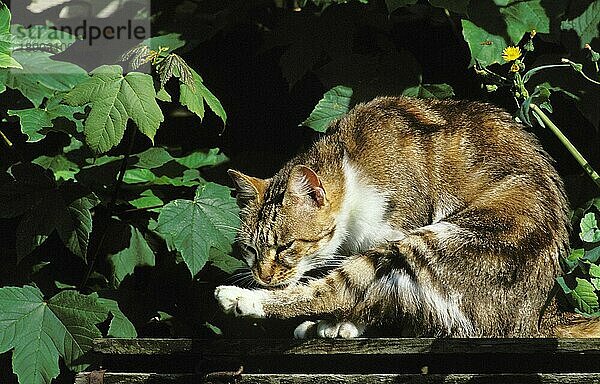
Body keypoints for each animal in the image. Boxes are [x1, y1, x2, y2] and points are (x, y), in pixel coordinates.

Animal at [216, 96, 600, 340]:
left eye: (286, 246)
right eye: (250, 250)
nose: (262, 276)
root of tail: (542, 318)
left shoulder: (397, 226)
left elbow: (360, 296)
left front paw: (346, 325)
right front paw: (336, 325)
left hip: (441, 238)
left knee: (335, 290)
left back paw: (240, 298)